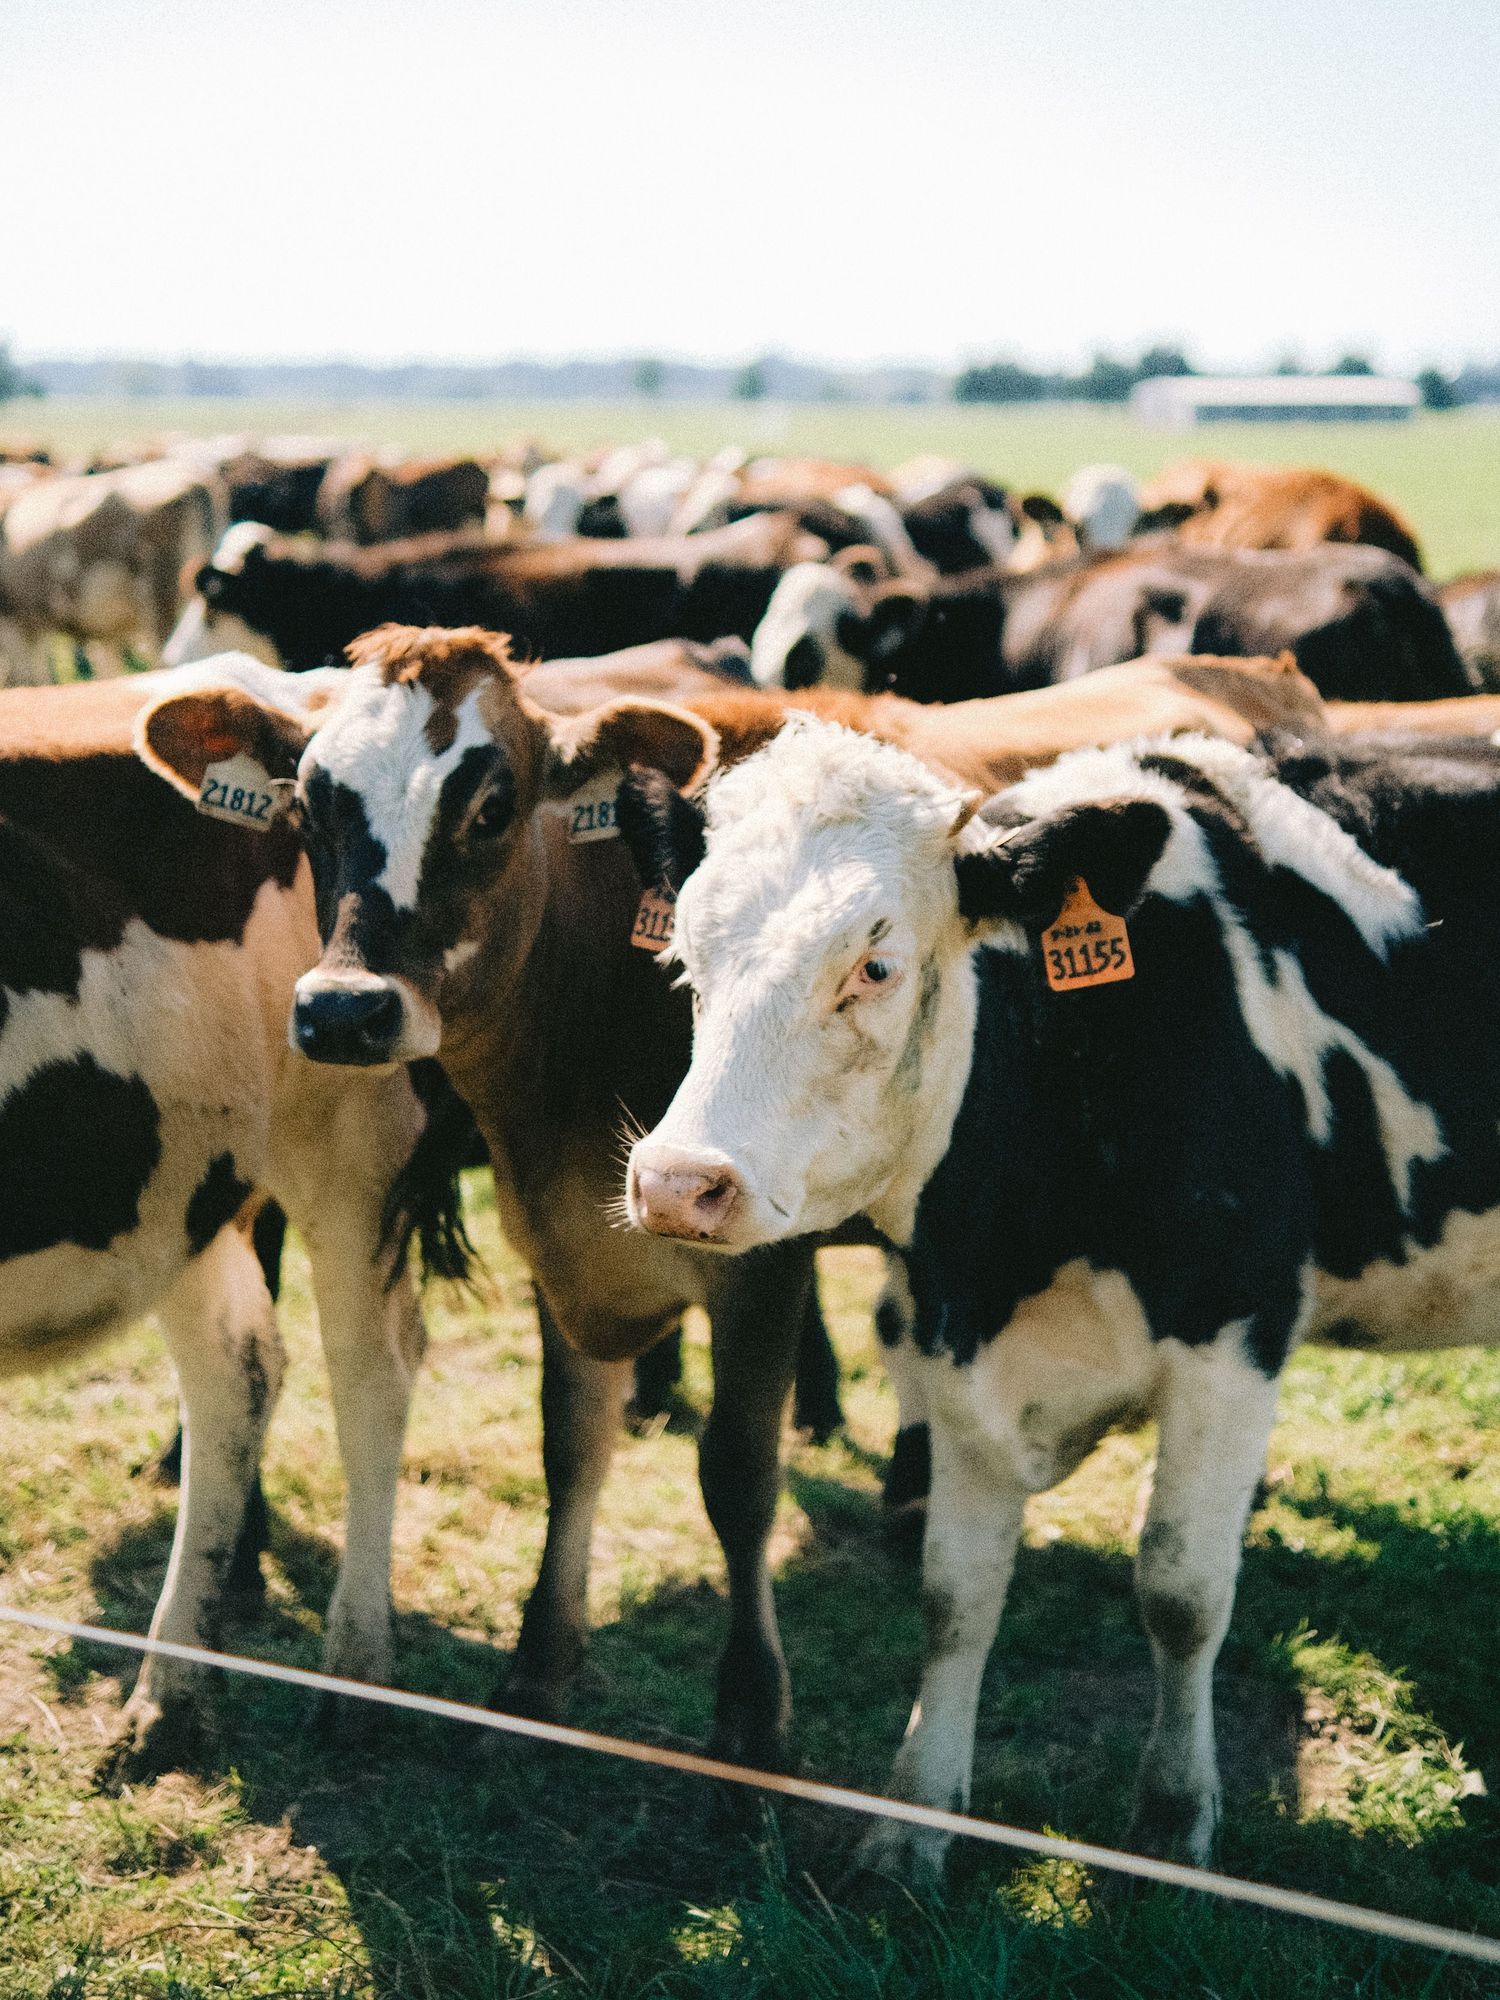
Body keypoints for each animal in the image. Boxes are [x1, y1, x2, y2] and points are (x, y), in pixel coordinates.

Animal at [0, 659, 466, 1772]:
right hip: (173, 1189)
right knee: (238, 1376)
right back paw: (171, 1691)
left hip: (351, 1146)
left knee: (371, 1372)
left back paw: (354, 1674)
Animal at [620, 713, 1500, 1880]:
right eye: (686, 960)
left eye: (875, 964)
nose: (679, 1182)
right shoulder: (957, 1346)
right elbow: (955, 1593)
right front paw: (912, 1820)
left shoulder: (1237, 1331)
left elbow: (1181, 1589)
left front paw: (1172, 1819)